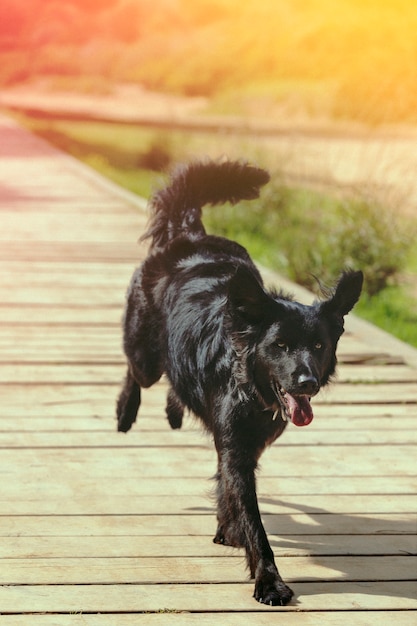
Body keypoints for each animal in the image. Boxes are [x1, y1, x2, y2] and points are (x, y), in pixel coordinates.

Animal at [115, 160, 362, 604]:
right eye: (280, 345)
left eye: (319, 345)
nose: (307, 382)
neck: (249, 386)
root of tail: (191, 234)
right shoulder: (238, 451)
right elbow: (253, 521)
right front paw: (269, 580)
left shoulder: (242, 447)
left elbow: (226, 488)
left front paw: (226, 529)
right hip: (145, 356)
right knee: (136, 371)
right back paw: (126, 411)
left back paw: (174, 411)